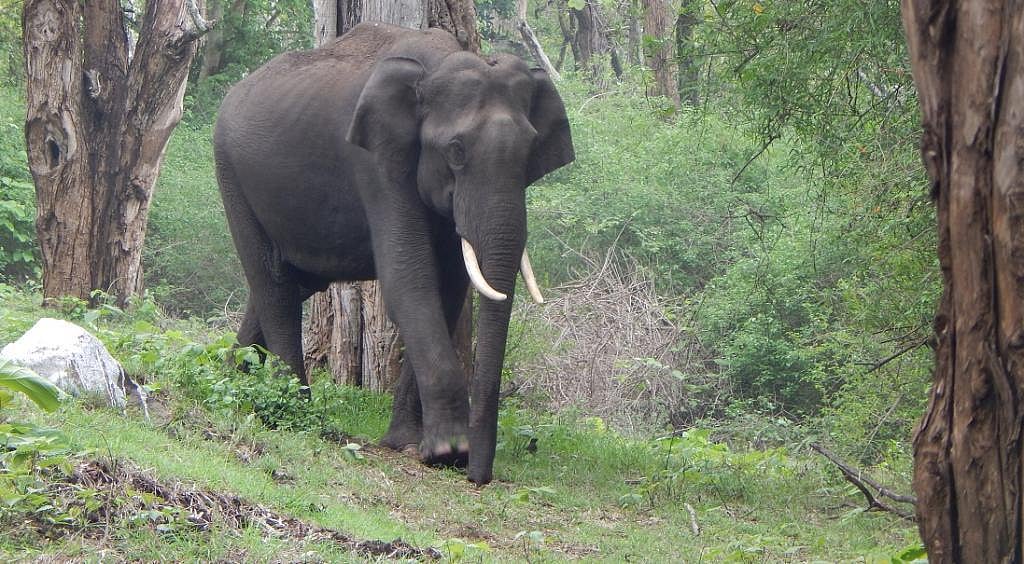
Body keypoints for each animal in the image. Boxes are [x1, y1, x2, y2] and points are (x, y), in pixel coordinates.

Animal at [213, 22, 574, 484]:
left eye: (531, 151)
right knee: (273, 284)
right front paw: (448, 451)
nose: (477, 476)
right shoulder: (378, 161)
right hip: (232, 174)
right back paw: (293, 408)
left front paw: (407, 443)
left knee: (290, 285)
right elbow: (409, 279)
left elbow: (448, 288)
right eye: (456, 151)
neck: (437, 62)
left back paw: (232, 380)